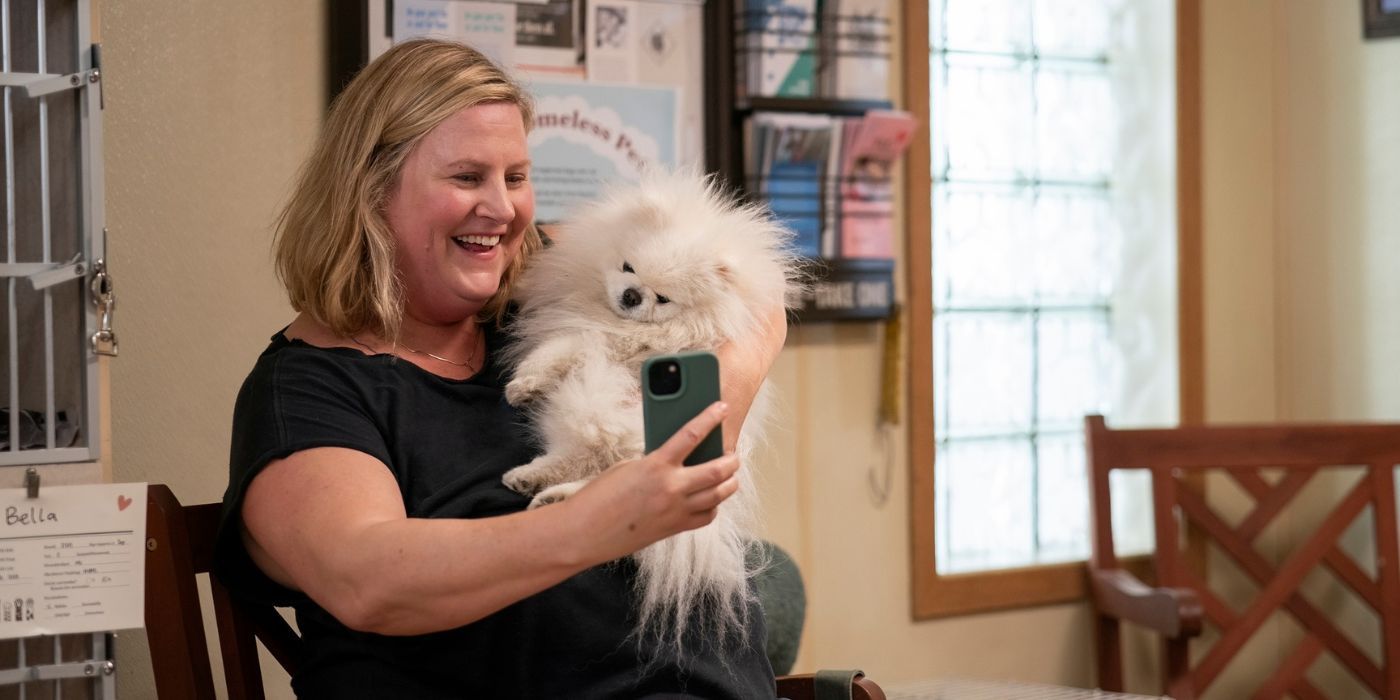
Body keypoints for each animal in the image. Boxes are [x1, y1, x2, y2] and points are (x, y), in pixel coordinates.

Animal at [501, 168, 800, 649]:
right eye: (628, 268)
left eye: (662, 298)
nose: (630, 296)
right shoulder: (589, 330)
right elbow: (558, 347)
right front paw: (526, 384)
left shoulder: (605, 343)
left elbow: (565, 347)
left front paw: (524, 381)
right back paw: (538, 485)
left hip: (592, 408)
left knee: (603, 472)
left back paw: (548, 491)